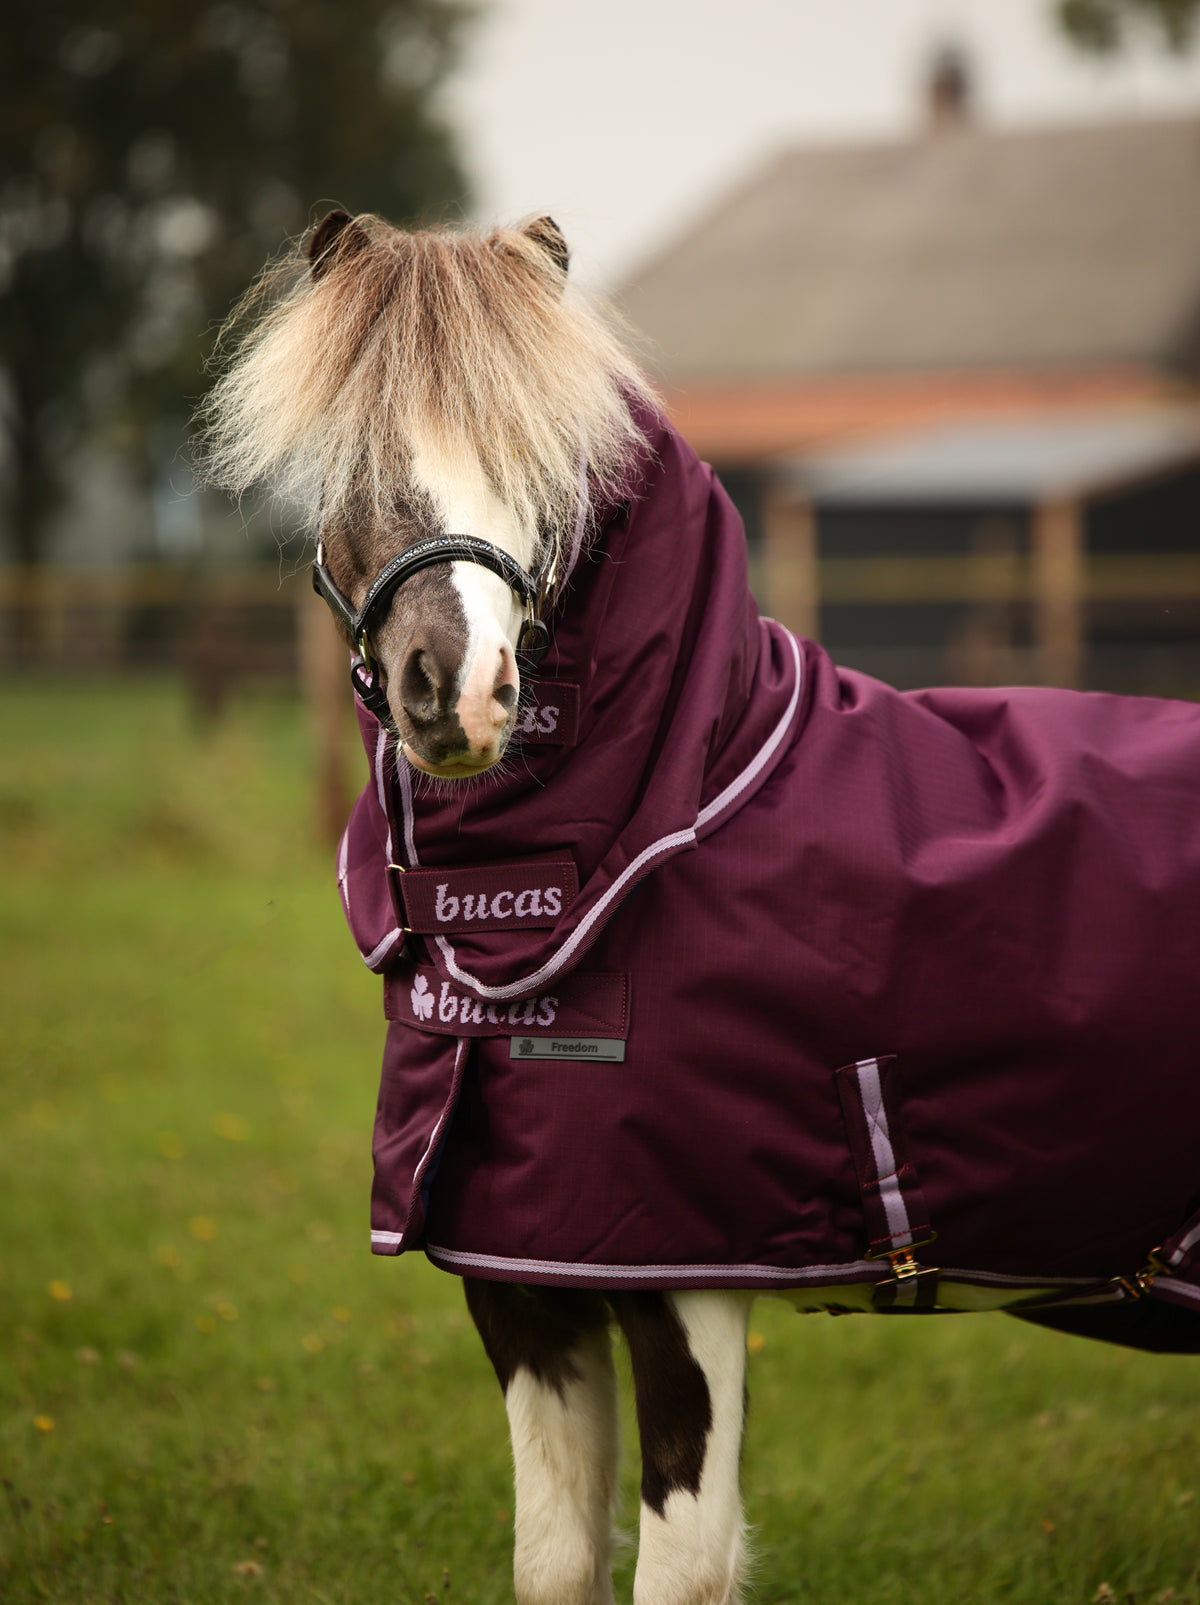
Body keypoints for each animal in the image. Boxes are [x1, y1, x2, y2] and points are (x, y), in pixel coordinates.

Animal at [200, 209, 1200, 1605]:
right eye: (362, 459)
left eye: (549, 462)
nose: (458, 691)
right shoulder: (522, 1287)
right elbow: (553, 1563)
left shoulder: (685, 1284)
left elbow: (678, 1570)